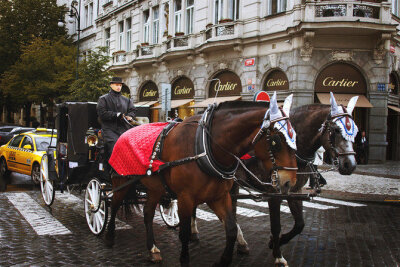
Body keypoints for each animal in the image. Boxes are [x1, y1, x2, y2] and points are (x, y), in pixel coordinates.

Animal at [105, 95, 296, 266]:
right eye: (276, 141)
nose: (290, 183)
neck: (205, 146)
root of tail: (126, 131)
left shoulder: (218, 196)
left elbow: (231, 228)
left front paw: (224, 260)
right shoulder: (185, 198)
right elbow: (183, 233)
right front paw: (184, 259)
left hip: (155, 188)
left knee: (147, 213)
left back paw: (152, 249)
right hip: (120, 182)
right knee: (113, 204)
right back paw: (109, 236)